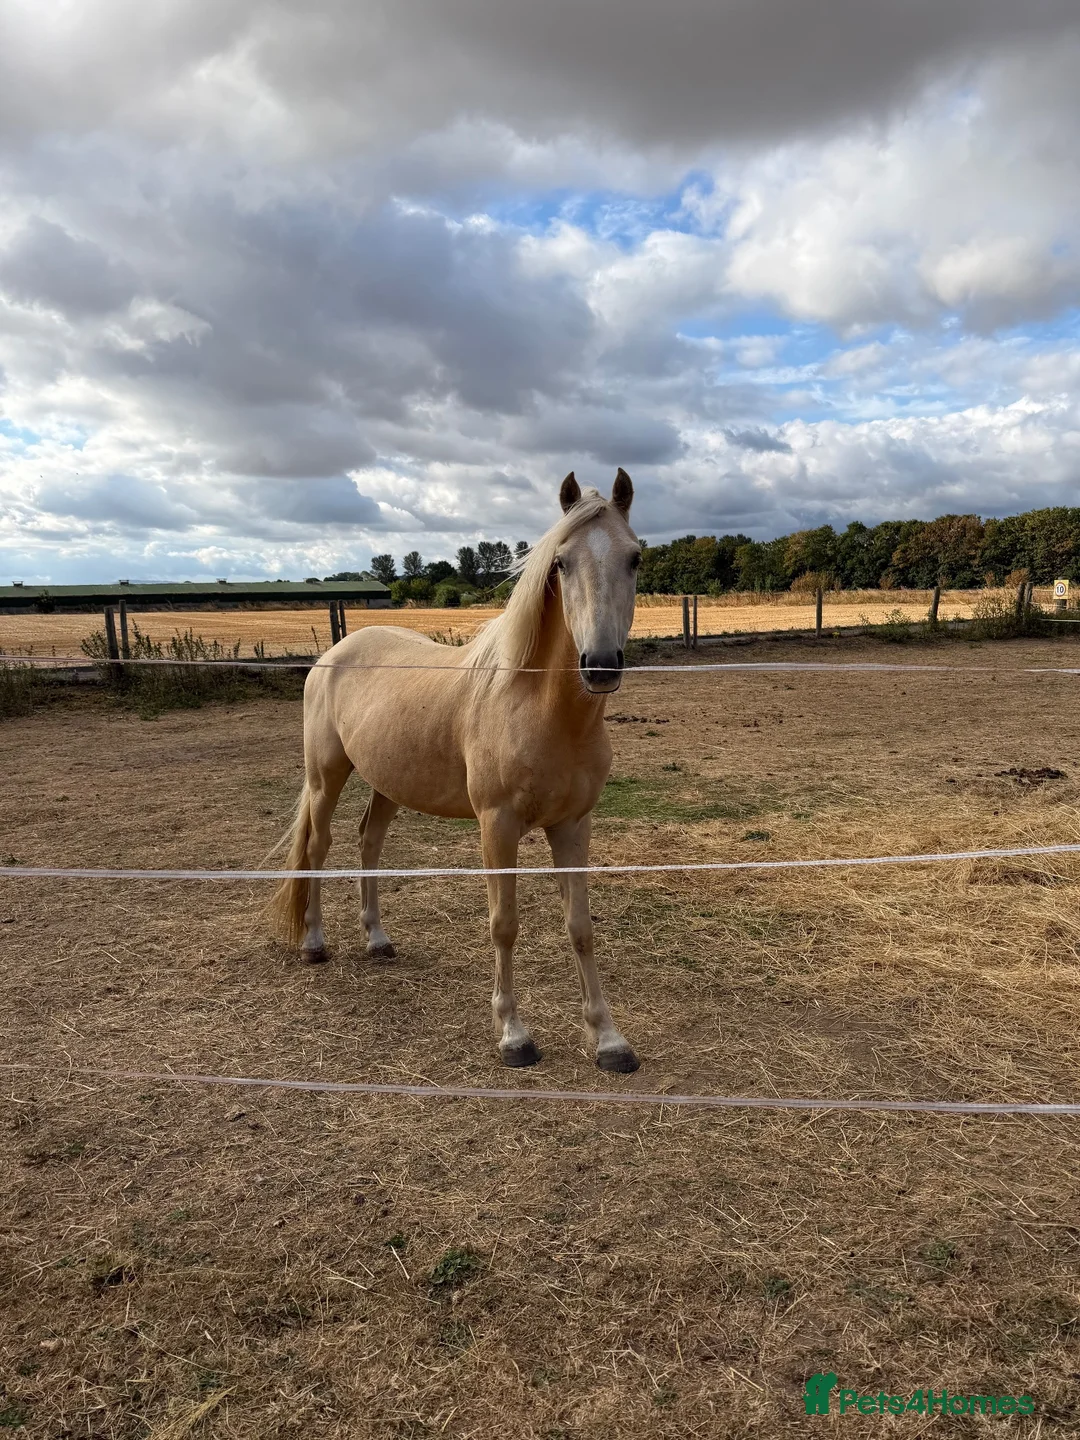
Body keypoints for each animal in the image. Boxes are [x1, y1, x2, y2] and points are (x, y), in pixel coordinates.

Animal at [270, 469, 642, 1073]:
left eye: (634, 558)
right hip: (327, 777)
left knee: (368, 840)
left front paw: (608, 1039)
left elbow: (581, 927)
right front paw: (513, 1035)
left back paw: (377, 940)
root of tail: (334, 653)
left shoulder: (573, 825)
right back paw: (314, 944)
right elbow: (504, 924)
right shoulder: (497, 825)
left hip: (388, 783)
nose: (601, 666)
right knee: (318, 849)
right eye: (562, 562)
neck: (540, 708)